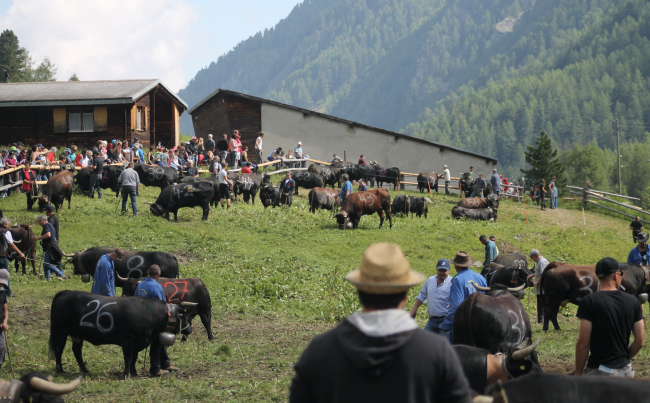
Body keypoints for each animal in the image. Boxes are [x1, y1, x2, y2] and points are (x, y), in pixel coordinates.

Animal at [48, 290, 195, 378]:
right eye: (184, 316)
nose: (189, 330)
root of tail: (67, 292)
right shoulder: (128, 340)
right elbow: (128, 357)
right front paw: (126, 374)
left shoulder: (138, 341)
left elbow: (134, 358)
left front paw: (134, 373)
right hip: (60, 332)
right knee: (59, 350)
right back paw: (60, 370)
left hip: (77, 334)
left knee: (76, 351)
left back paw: (85, 371)